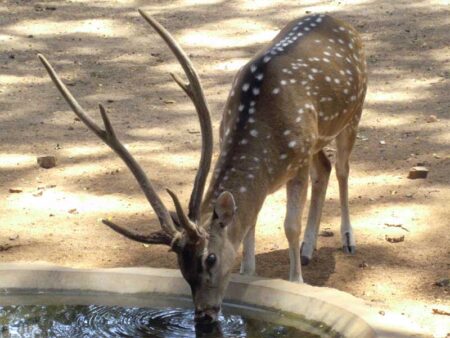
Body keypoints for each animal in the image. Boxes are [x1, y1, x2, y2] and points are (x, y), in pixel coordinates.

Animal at [39, 9, 366, 324]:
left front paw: (295, 282)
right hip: (321, 136)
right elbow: (249, 225)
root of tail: (341, 21)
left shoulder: (297, 161)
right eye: (180, 266)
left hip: (354, 112)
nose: (204, 314)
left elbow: (289, 226)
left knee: (343, 168)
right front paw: (249, 274)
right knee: (324, 168)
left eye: (210, 259)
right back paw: (309, 250)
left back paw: (348, 240)